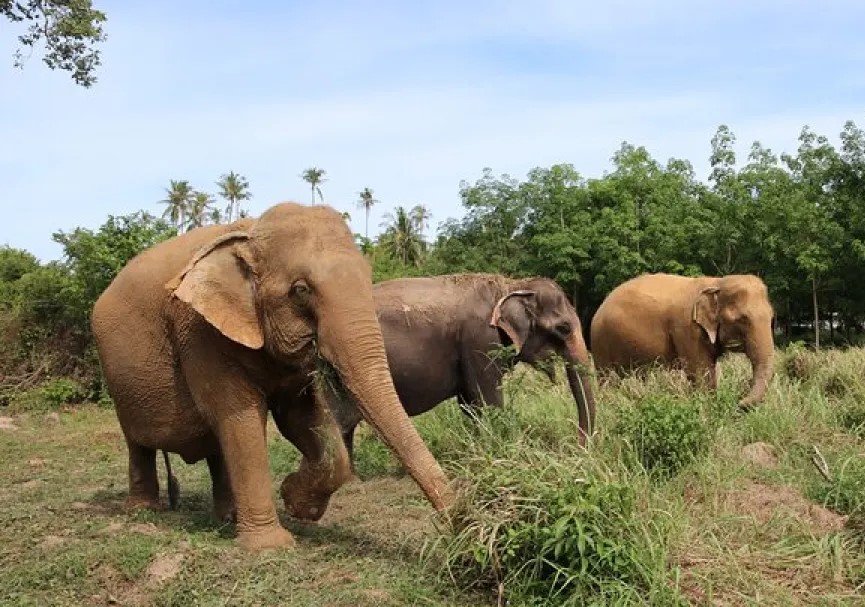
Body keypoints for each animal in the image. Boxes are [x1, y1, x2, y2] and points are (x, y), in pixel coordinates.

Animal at [89, 203, 452, 552]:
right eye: (301, 290)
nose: (458, 530)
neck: (250, 233)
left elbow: (301, 417)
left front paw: (295, 501)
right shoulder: (198, 331)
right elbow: (241, 417)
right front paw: (271, 546)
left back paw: (227, 518)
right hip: (119, 381)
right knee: (139, 443)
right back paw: (144, 511)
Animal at [286, 274, 596, 470]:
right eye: (563, 328)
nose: (578, 449)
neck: (511, 284)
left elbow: (470, 406)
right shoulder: (479, 339)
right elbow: (489, 401)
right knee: (336, 419)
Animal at [592, 274, 772, 408]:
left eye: (772, 317)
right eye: (742, 319)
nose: (740, 402)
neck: (716, 282)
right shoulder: (686, 329)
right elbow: (699, 373)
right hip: (601, 343)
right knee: (608, 380)